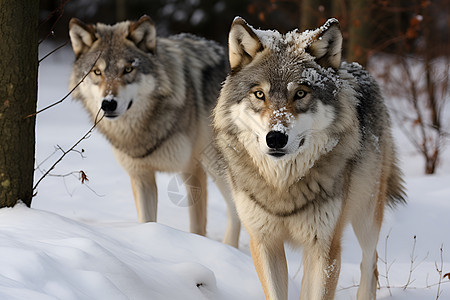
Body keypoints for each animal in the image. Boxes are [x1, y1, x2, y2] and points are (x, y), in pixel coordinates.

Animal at [67, 14, 243, 246]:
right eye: (97, 72)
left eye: (128, 69)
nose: (108, 104)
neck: (142, 130)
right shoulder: (141, 176)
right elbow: (146, 221)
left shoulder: (192, 169)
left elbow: (197, 227)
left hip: (218, 166)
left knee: (237, 212)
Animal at [213, 17, 406, 298]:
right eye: (260, 94)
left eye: (300, 94)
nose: (276, 138)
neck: (283, 186)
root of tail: (356, 68)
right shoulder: (264, 242)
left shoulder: (325, 247)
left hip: (367, 217)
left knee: (370, 263)